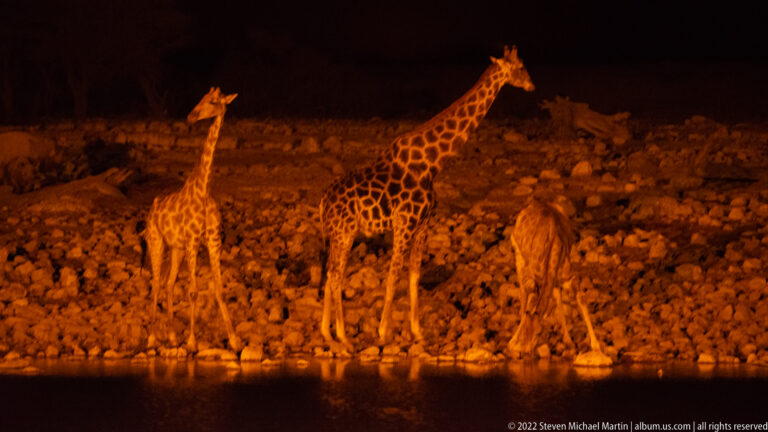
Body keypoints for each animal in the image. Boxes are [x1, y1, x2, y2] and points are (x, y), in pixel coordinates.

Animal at [145, 87, 241, 352]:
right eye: (201, 98)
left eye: (213, 101)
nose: (190, 116)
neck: (203, 189)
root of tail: (151, 210)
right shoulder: (193, 242)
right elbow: (193, 291)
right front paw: (191, 342)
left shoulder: (212, 241)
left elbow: (218, 289)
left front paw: (234, 340)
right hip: (156, 242)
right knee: (156, 284)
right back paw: (152, 338)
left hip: (175, 248)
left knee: (168, 284)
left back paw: (170, 336)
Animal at [319, 46, 534, 351]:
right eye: (519, 67)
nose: (531, 85)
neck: (433, 162)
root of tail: (323, 202)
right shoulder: (405, 223)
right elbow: (393, 274)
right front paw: (383, 332)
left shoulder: (422, 225)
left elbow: (413, 276)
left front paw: (417, 332)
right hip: (345, 232)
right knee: (336, 275)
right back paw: (343, 335)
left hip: (338, 234)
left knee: (330, 274)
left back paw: (327, 333)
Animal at [506, 197, 604, 358]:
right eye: (527, 332)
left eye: (539, 333)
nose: (527, 353)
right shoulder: (535, 277)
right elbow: (528, 305)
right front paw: (514, 342)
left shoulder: (566, 275)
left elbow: (579, 298)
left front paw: (594, 345)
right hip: (519, 257)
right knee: (524, 295)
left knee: (552, 295)